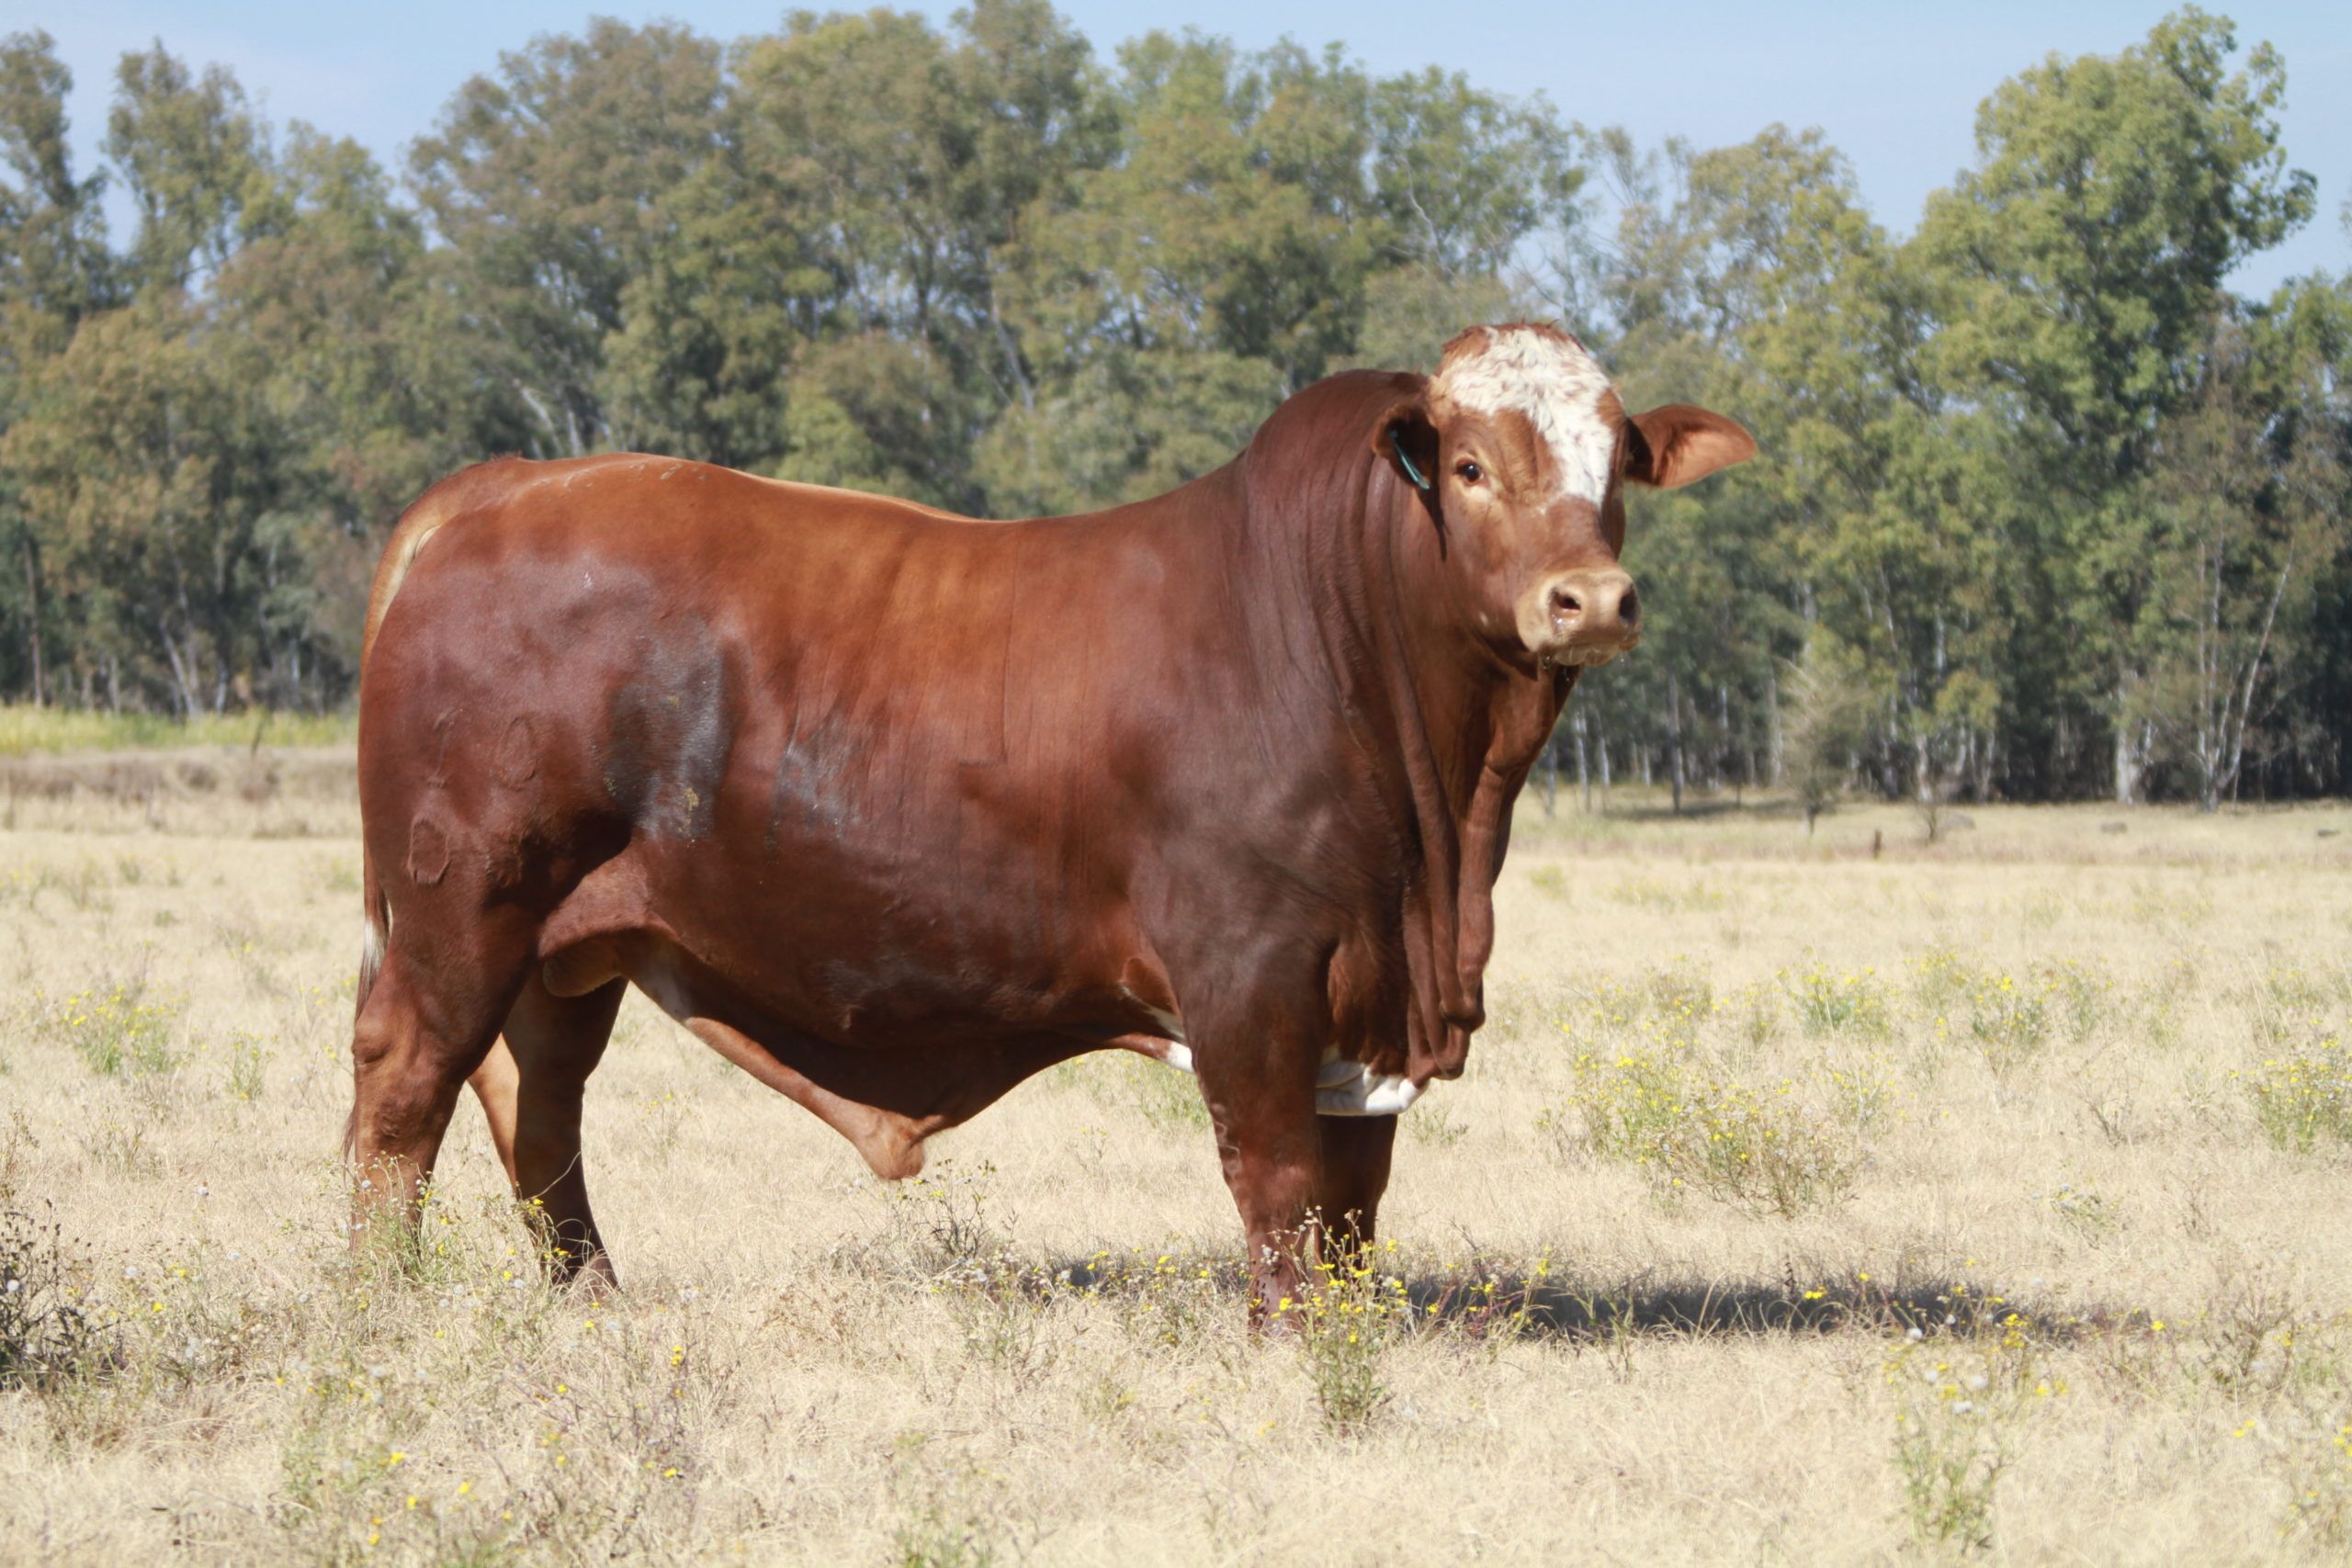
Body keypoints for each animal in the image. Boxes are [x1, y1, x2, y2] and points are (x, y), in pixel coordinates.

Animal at [346, 322, 1753, 1320]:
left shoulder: (1365, 996)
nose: (1590, 598)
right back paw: (382, 1309)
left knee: (539, 1105)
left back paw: (593, 1301)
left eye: (1616, 466)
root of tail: (502, 486)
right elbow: (1278, 1180)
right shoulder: (1250, 973)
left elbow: (1352, 1205)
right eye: (1468, 465)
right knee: (406, 1092)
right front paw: (1292, 1345)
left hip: (571, 940)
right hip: (464, 904)